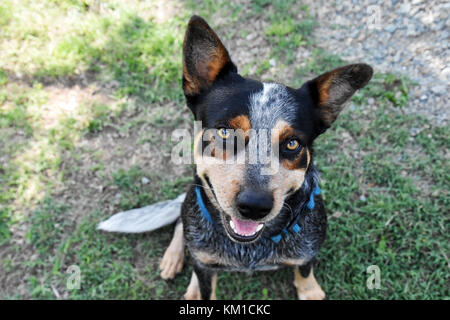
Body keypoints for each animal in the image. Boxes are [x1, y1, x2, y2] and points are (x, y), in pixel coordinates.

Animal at [158, 15, 372, 300]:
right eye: (225, 132)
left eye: (292, 143)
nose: (254, 206)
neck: (250, 249)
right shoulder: (203, 261)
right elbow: (203, 277)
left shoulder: (307, 251)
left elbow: (304, 270)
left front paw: (309, 290)